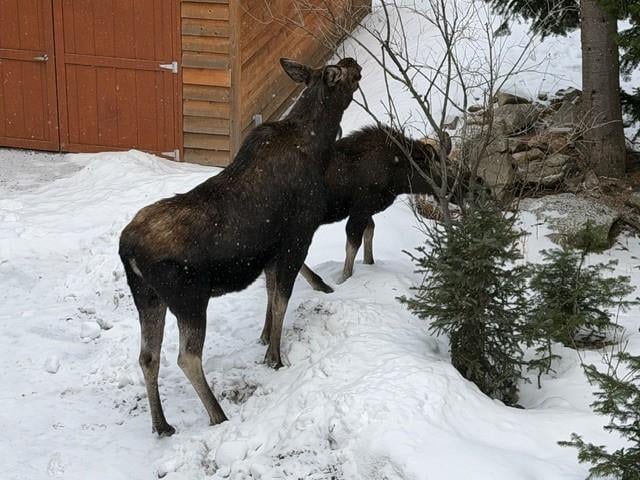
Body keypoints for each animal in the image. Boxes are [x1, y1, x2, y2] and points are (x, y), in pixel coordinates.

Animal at [119, 57, 362, 436]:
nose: (354, 62)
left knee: (148, 356)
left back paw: (162, 424)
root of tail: (126, 249)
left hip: (147, 297)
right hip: (189, 298)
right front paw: (274, 357)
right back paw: (217, 414)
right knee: (187, 356)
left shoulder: (270, 252)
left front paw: (263, 338)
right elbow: (281, 300)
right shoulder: (297, 237)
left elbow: (270, 294)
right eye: (339, 72)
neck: (319, 146)